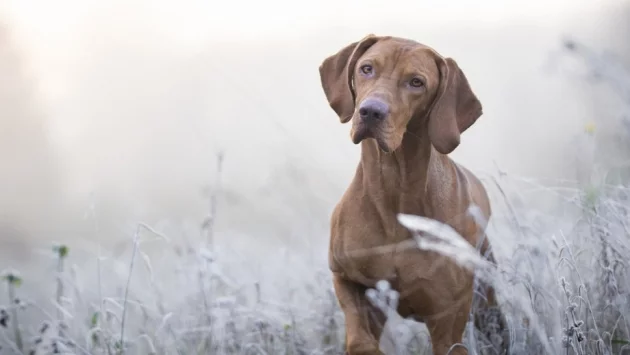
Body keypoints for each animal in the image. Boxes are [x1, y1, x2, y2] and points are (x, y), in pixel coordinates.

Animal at [320, 34, 504, 355]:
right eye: (367, 68)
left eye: (416, 82)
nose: (370, 111)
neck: (395, 188)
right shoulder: (346, 278)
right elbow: (359, 340)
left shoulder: (447, 318)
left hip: (487, 302)